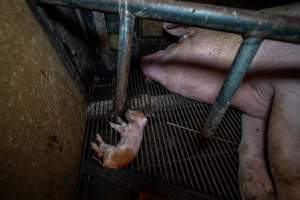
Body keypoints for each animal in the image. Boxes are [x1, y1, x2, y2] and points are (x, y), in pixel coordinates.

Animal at [142, 3, 300, 199]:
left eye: (181, 41)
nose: (141, 59)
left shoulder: (290, 90)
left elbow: (283, 163)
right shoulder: (256, 108)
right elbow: (248, 141)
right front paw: (254, 193)